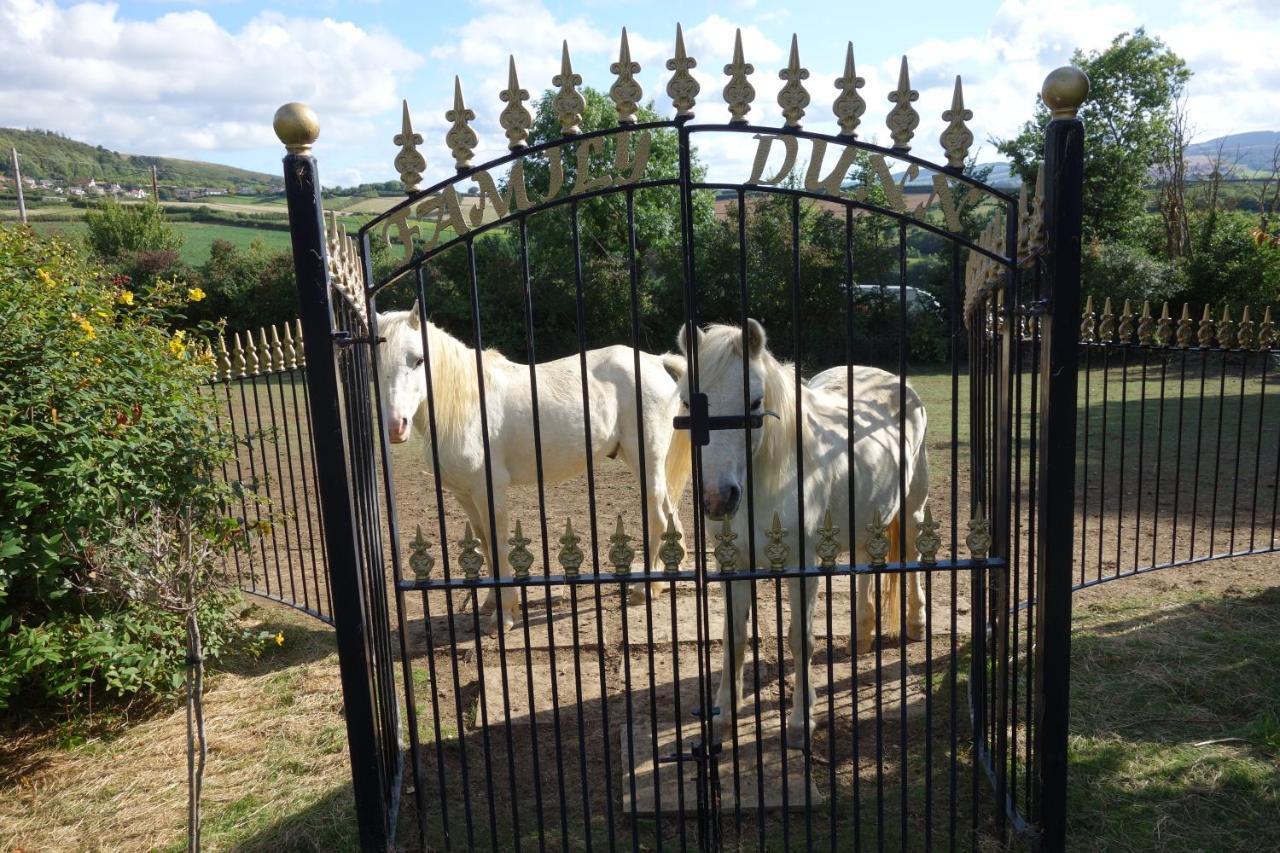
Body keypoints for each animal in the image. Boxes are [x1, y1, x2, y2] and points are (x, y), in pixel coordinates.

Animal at [373, 303, 691, 630]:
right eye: (377, 361)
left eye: (418, 359)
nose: (396, 426)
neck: (469, 405)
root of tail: (656, 361)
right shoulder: (465, 495)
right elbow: (484, 543)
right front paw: (492, 603)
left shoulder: (489, 491)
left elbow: (498, 545)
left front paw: (505, 614)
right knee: (669, 513)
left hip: (646, 459)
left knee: (658, 518)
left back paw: (644, 589)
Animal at [665, 318, 926, 737]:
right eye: (689, 404)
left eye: (755, 403)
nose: (718, 498)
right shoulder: (733, 564)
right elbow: (733, 637)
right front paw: (726, 710)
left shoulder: (801, 568)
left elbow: (800, 639)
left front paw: (803, 718)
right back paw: (862, 632)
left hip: (915, 504)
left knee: (914, 553)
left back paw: (916, 623)